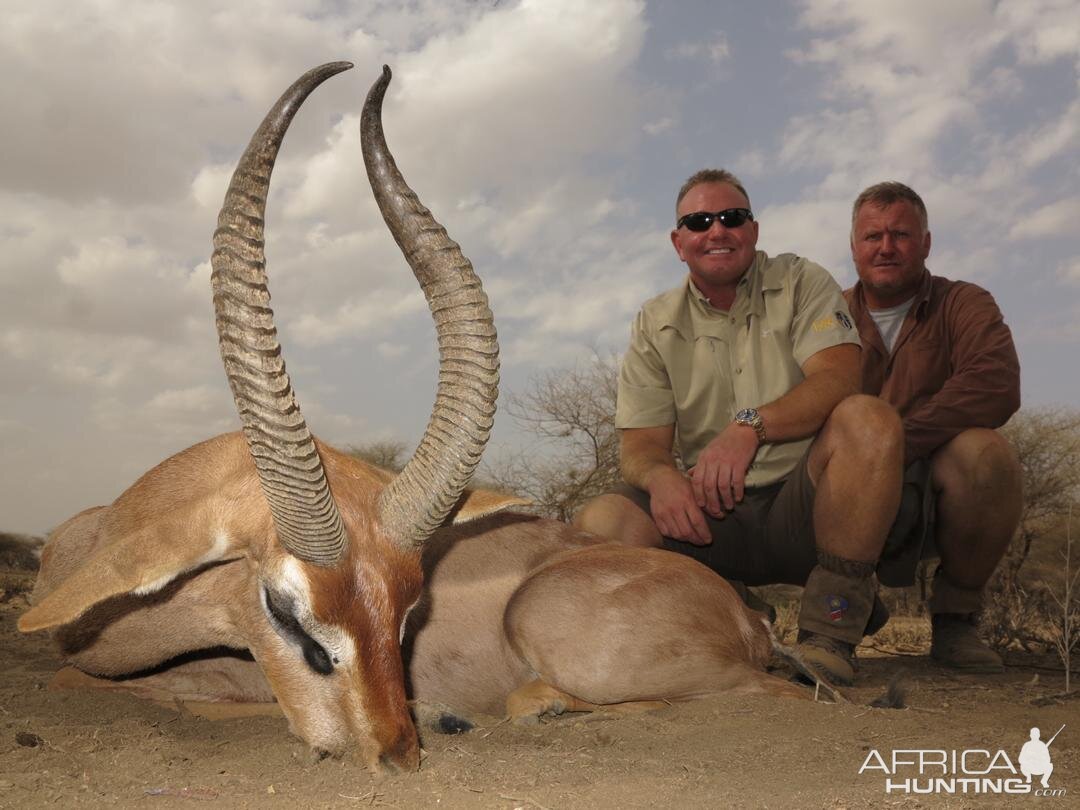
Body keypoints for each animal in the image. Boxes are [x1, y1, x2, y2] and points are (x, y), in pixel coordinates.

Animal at [19, 61, 812, 773]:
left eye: (409, 611)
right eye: (285, 610)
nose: (396, 755)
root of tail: (746, 617)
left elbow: (91, 682)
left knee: (779, 692)